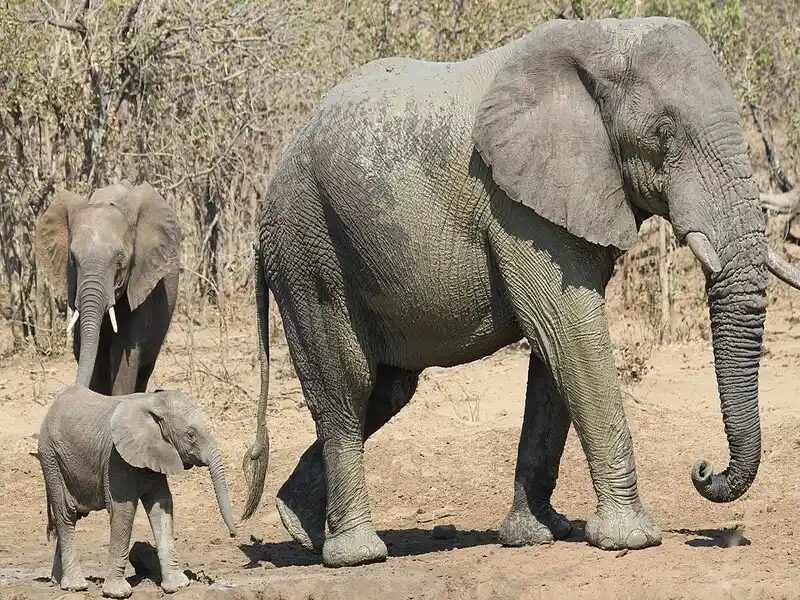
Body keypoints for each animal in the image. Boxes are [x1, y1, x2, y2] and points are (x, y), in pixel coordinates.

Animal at [35, 182, 181, 398]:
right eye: (73, 259)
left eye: (119, 260)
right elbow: (96, 351)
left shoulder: (141, 282)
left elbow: (123, 349)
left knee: (146, 365)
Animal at [37, 386, 236, 596]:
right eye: (191, 434)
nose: (233, 534)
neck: (154, 401)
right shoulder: (115, 458)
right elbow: (123, 510)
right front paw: (117, 593)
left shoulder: (156, 453)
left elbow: (161, 506)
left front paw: (178, 586)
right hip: (51, 458)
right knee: (66, 515)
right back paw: (75, 585)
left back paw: (57, 581)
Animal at [241, 15, 800, 568]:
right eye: (662, 134)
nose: (703, 470)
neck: (604, 37)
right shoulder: (515, 205)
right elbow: (569, 332)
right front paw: (633, 540)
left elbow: (554, 352)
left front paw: (537, 535)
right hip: (307, 250)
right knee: (347, 389)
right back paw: (357, 555)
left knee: (385, 391)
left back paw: (300, 528)